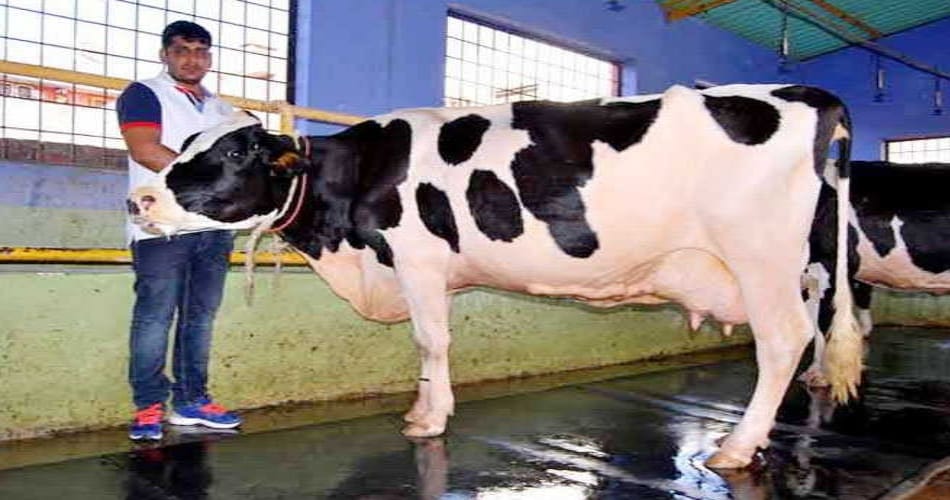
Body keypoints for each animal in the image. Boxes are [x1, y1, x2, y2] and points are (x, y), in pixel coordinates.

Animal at [126, 83, 863, 469]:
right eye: (184, 145)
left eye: (230, 155)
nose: (139, 199)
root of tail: (805, 92)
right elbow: (431, 345)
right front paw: (424, 407)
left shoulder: (418, 259)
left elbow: (431, 343)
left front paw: (429, 421)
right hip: (800, 265)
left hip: (759, 256)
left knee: (782, 341)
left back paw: (736, 448)